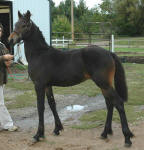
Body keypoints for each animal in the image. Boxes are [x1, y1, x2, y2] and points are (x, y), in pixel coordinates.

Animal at [8, 11, 133, 147]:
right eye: (15, 24)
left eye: (25, 25)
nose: (10, 40)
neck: (39, 54)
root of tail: (109, 53)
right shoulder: (47, 85)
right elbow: (52, 104)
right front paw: (57, 129)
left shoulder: (39, 85)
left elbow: (40, 107)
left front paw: (38, 135)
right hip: (104, 85)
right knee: (110, 104)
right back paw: (105, 133)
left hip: (103, 83)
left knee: (118, 103)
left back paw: (127, 138)